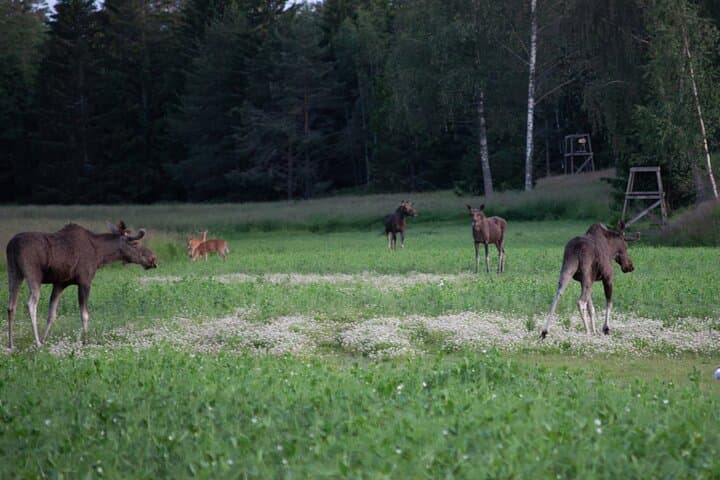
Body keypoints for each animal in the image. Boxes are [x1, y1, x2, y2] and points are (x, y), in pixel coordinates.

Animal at [5, 221, 157, 349]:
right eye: (136, 243)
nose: (153, 259)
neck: (100, 255)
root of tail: (12, 246)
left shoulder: (60, 284)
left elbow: (52, 314)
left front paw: (45, 340)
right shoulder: (85, 281)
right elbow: (84, 314)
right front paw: (85, 340)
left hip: (14, 272)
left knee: (11, 306)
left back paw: (11, 344)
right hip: (33, 274)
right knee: (30, 304)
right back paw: (36, 343)